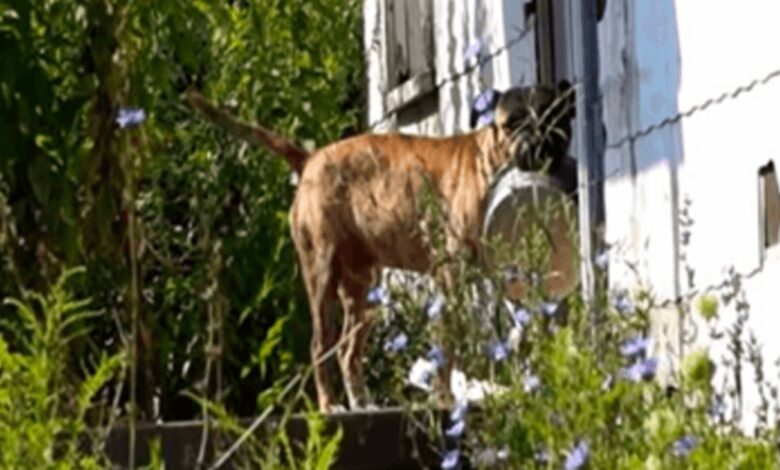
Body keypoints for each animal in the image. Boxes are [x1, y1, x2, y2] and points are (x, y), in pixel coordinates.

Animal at [191, 83, 576, 412]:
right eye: (512, 124)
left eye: (554, 116)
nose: (537, 144)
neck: (490, 162)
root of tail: (310, 159)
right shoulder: (449, 276)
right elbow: (447, 344)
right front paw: (443, 397)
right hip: (321, 277)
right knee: (320, 346)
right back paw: (329, 404)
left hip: (363, 290)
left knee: (348, 352)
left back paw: (361, 402)